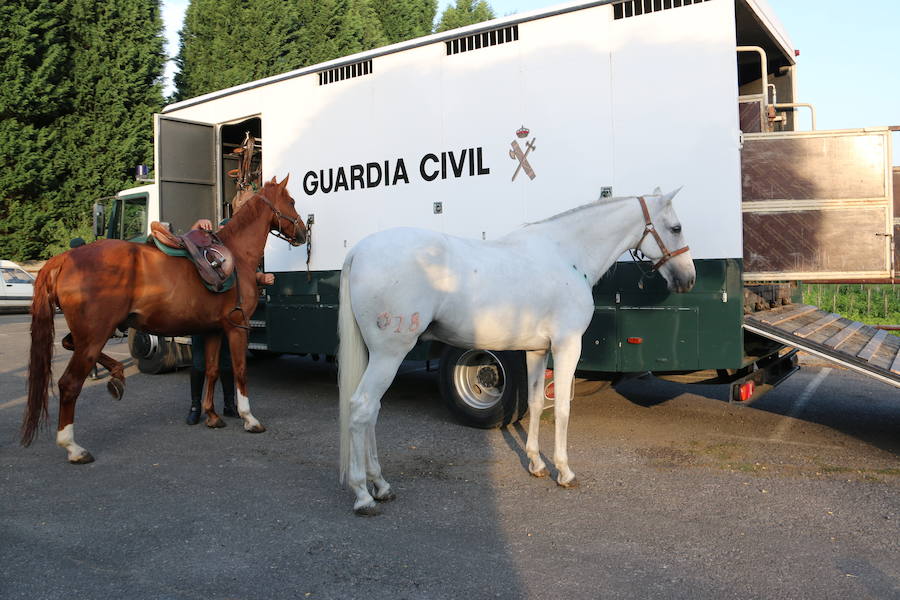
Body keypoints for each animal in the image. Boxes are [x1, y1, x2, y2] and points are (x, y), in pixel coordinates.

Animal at [20, 176, 306, 462]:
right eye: (291, 201)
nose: (303, 232)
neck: (236, 255)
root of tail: (64, 258)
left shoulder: (213, 330)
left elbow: (212, 371)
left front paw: (212, 415)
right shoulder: (237, 327)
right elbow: (240, 370)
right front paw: (249, 418)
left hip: (89, 335)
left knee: (68, 344)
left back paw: (116, 374)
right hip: (95, 336)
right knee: (69, 384)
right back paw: (72, 447)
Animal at [338, 189, 696, 516]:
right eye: (676, 227)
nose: (688, 279)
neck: (567, 255)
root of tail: (359, 250)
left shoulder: (536, 350)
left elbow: (537, 403)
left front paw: (536, 463)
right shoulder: (567, 345)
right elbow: (562, 408)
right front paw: (564, 472)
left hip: (376, 355)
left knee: (373, 411)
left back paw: (380, 484)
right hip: (389, 353)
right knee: (362, 408)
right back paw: (364, 495)